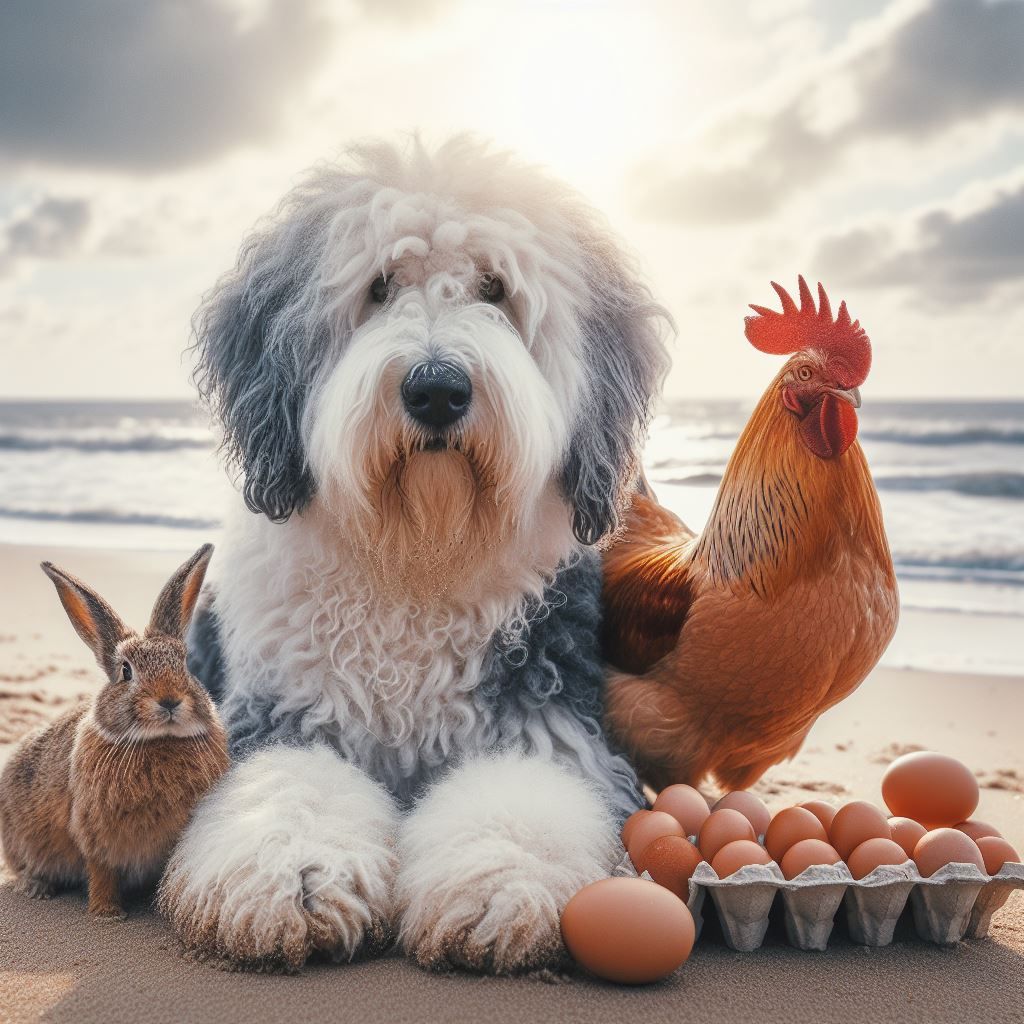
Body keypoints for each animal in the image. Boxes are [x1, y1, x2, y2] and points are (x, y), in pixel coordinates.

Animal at [0, 544, 228, 921]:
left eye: (185, 664)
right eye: (126, 671)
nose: (169, 700)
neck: (157, 742)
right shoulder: (94, 839)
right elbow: (101, 873)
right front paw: (107, 914)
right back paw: (37, 888)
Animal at [157, 136, 671, 974]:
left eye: (496, 287)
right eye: (377, 285)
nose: (436, 389)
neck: (419, 551)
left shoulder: (547, 719)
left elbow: (523, 795)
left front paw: (500, 883)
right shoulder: (280, 712)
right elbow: (294, 784)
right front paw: (294, 877)